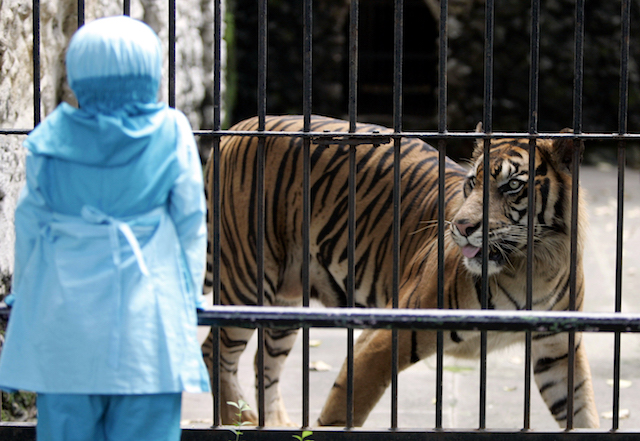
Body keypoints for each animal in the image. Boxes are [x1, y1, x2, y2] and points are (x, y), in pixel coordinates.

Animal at [201, 113, 600, 426]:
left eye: (513, 186)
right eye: (472, 182)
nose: (461, 226)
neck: (535, 265)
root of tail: (238, 126)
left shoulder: (559, 350)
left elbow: (581, 410)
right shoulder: (385, 335)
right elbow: (343, 409)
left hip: (285, 300)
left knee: (263, 362)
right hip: (246, 277)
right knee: (214, 350)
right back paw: (239, 420)